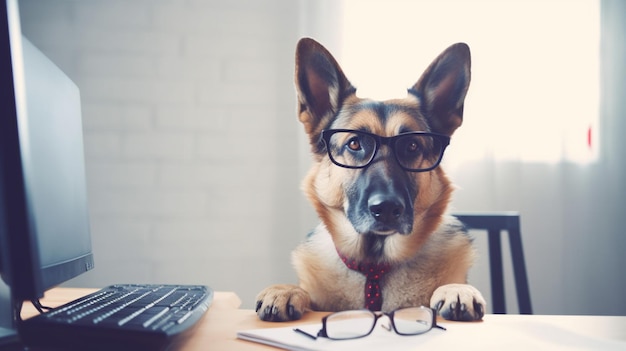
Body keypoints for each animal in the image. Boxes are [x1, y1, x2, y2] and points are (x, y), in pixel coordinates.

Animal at [254, 37, 482, 322]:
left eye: (412, 146)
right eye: (354, 143)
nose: (386, 208)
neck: (375, 269)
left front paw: (457, 289)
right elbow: (302, 291)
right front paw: (285, 290)